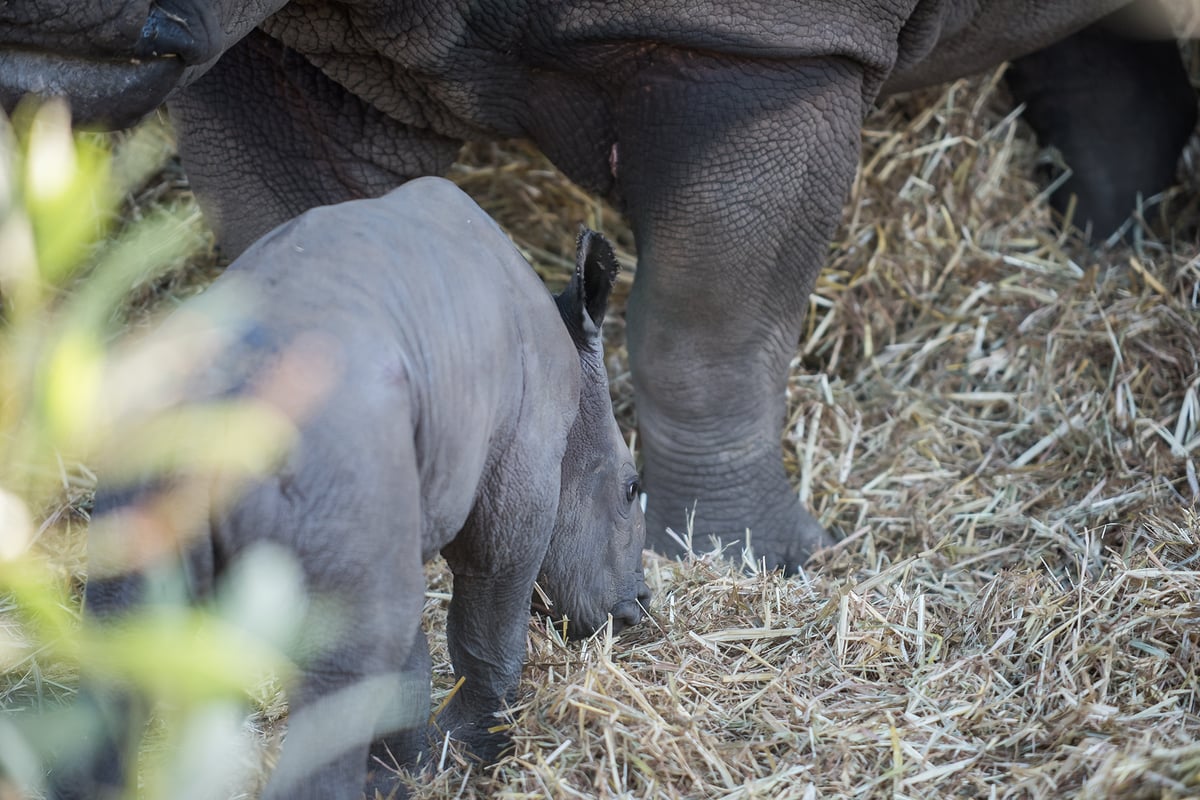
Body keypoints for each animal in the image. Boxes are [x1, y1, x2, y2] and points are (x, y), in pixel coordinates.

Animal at [4, 0, 1195, 575]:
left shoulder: (762, 50)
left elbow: (704, 328)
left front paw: (742, 562)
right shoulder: (272, 42)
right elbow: (314, 251)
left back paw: (1113, 249)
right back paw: (1109, 242)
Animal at [49, 179, 648, 800]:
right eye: (632, 489)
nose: (640, 607)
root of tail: (223, 397)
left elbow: (406, 665)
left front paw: (407, 774)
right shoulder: (517, 474)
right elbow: (489, 621)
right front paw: (474, 755)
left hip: (155, 442)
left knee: (120, 643)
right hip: (333, 449)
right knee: (346, 675)